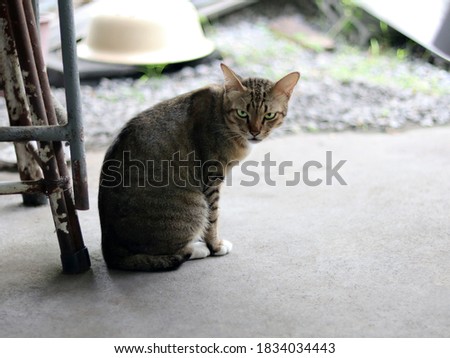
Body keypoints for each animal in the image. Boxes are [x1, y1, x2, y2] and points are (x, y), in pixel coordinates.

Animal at [98, 64, 298, 272]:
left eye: (269, 115)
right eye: (242, 113)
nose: (255, 132)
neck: (221, 115)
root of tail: (110, 252)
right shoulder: (212, 178)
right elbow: (213, 218)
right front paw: (215, 246)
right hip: (194, 207)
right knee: (176, 250)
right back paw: (198, 249)